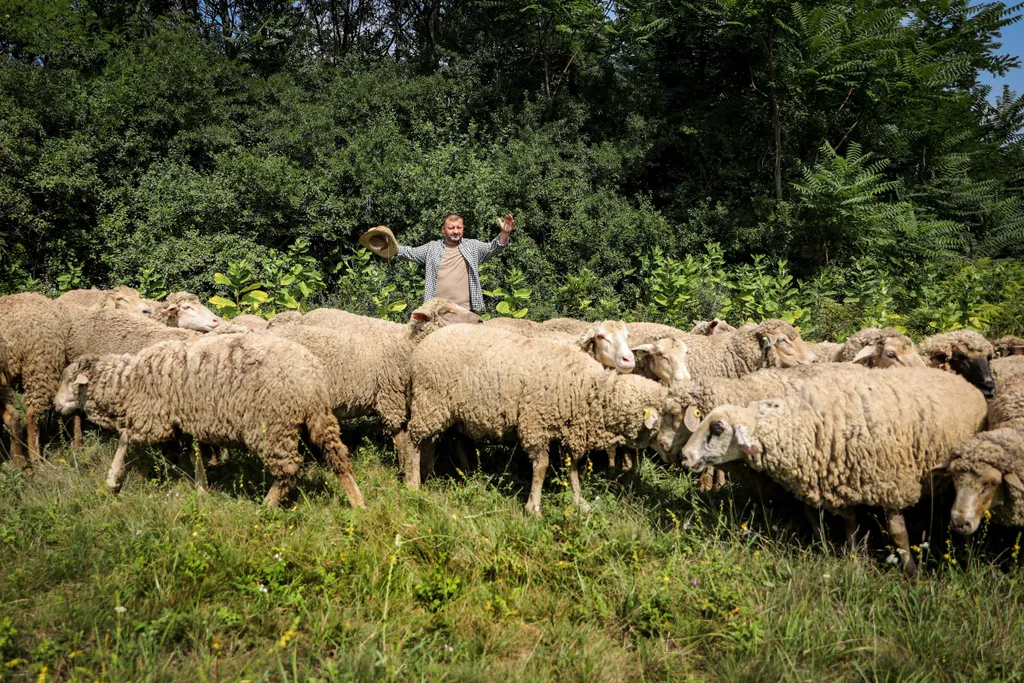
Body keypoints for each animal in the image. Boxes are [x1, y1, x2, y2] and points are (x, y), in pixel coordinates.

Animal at [51, 333, 366, 509]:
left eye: (70, 381)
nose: (55, 405)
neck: (128, 383)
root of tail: (311, 377)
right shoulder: (185, 422)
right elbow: (194, 455)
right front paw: (201, 488)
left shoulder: (152, 417)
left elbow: (125, 439)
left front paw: (113, 481)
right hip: (318, 419)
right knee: (338, 457)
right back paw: (358, 504)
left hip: (272, 426)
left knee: (288, 470)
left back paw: (266, 507)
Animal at [268, 296, 483, 479]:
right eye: (446, 312)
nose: (480, 321)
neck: (406, 345)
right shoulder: (391, 400)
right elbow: (402, 441)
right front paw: (404, 469)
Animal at [403, 325, 684, 511]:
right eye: (669, 417)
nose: (676, 456)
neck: (587, 386)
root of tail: (425, 342)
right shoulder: (535, 424)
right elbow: (540, 467)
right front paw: (534, 507)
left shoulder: (569, 428)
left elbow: (572, 467)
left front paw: (579, 501)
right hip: (431, 402)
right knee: (413, 440)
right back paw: (413, 483)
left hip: (453, 411)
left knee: (450, 440)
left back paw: (458, 474)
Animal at [679, 362, 991, 577]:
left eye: (717, 429)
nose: (685, 456)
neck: (810, 425)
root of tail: (961, 380)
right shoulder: (843, 480)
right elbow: (850, 526)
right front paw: (852, 560)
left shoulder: (891, 482)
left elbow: (898, 533)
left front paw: (912, 572)